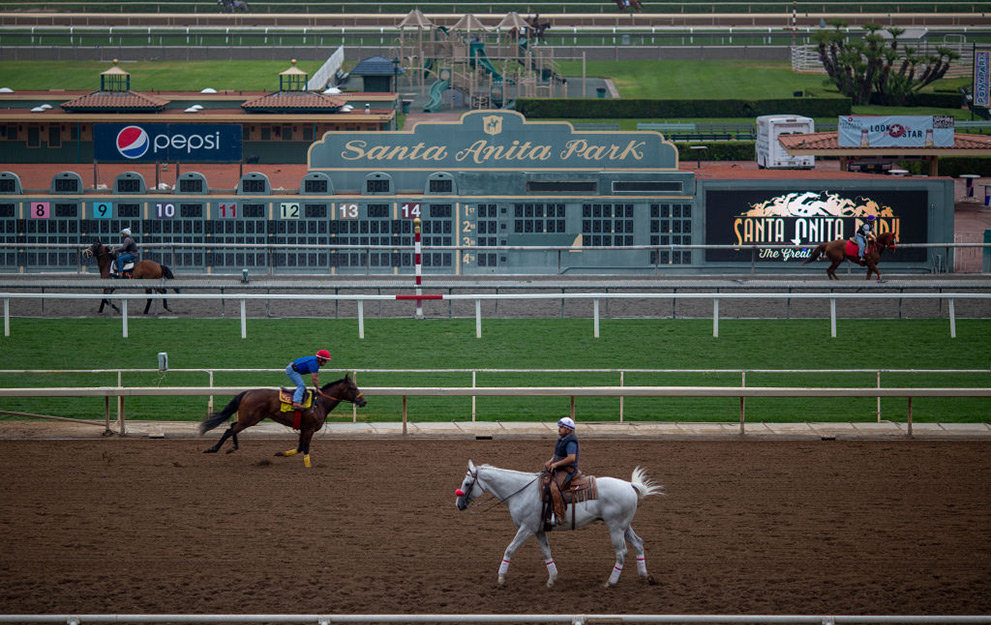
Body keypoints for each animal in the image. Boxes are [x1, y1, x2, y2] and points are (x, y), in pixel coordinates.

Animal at [201, 376, 368, 468]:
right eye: (353, 387)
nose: (364, 402)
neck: (319, 403)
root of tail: (247, 392)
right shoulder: (309, 428)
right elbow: (305, 448)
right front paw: (309, 466)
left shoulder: (303, 429)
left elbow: (300, 448)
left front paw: (281, 453)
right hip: (250, 419)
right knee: (230, 430)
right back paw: (213, 449)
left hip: (248, 418)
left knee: (233, 427)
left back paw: (233, 447)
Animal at [458, 458, 668, 584]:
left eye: (467, 483)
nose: (458, 504)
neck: (521, 491)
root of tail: (630, 485)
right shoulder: (538, 530)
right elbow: (546, 552)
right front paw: (552, 579)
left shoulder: (526, 528)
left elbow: (509, 549)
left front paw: (501, 577)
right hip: (624, 526)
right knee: (638, 544)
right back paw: (645, 576)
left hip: (615, 528)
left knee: (622, 552)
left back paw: (610, 582)